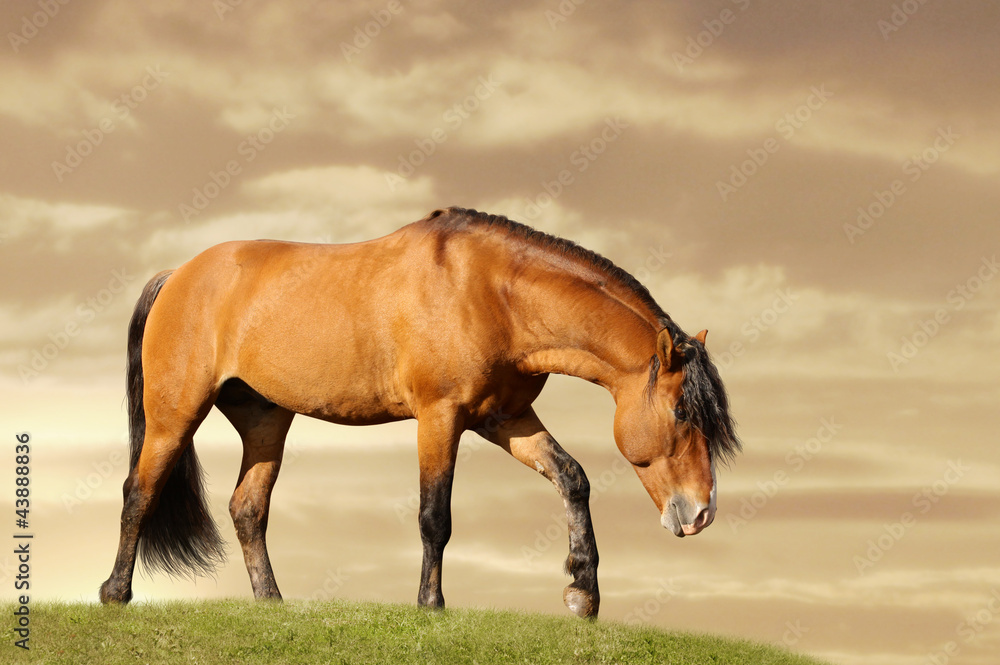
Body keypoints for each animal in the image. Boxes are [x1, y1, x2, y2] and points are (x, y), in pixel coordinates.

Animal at [99, 207, 740, 618]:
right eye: (683, 414)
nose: (701, 512)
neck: (492, 293)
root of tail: (178, 275)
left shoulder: (504, 420)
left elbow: (572, 478)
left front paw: (583, 593)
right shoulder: (440, 417)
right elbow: (436, 516)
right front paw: (430, 604)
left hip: (265, 419)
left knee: (247, 509)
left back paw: (271, 603)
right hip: (175, 416)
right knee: (139, 492)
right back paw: (115, 594)